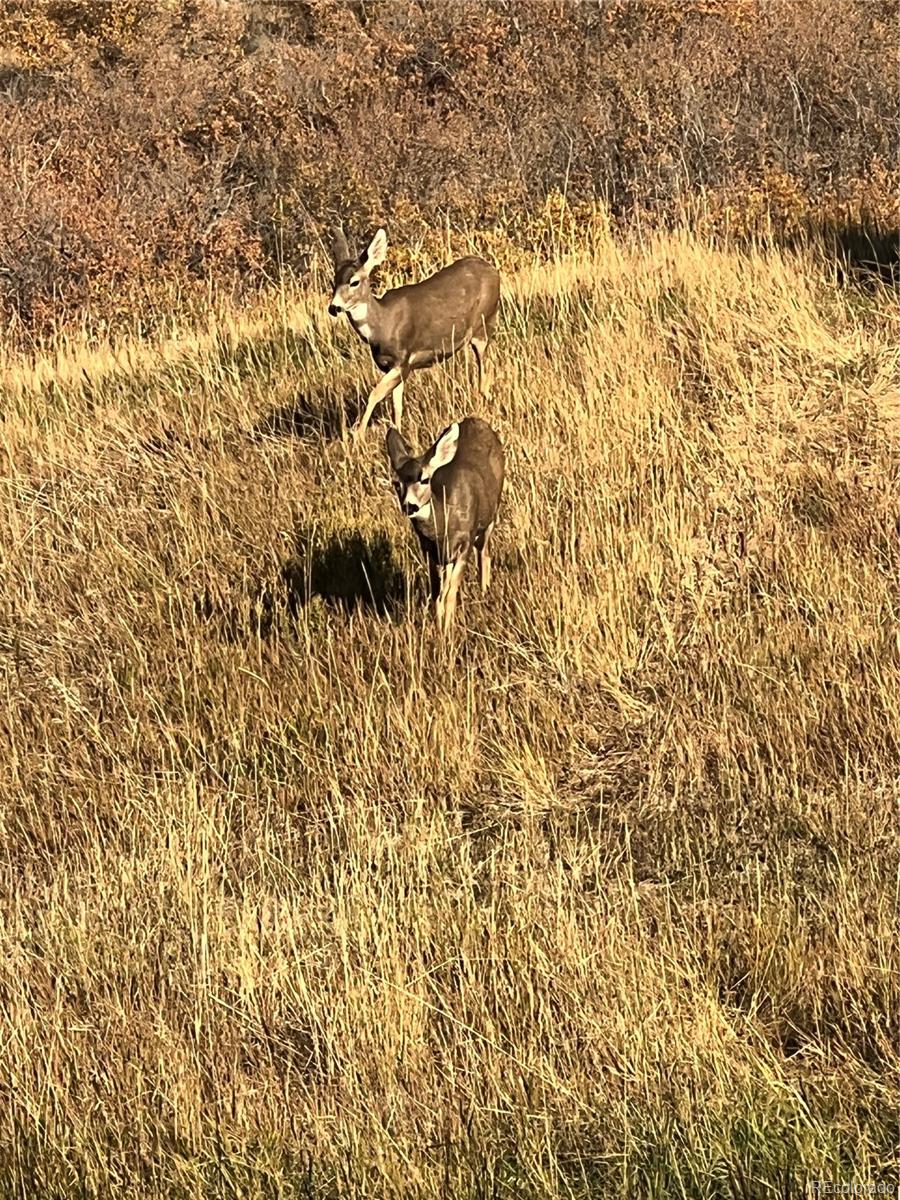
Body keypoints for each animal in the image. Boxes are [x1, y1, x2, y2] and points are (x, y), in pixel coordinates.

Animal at [328, 225, 501, 436]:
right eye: (334, 282)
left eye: (354, 282)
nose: (334, 307)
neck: (382, 325)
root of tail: (493, 270)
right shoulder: (392, 366)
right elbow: (396, 405)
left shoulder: (403, 360)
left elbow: (374, 394)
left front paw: (358, 436)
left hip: (483, 325)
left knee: (485, 372)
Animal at [384, 415, 504, 633]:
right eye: (397, 484)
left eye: (424, 479)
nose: (409, 506)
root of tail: (476, 420)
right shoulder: (430, 550)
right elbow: (437, 593)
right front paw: (439, 626)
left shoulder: (465, 542)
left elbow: (449, 593)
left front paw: (448, 629)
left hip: (490, 516)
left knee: (484, 553)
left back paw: (484, 592)